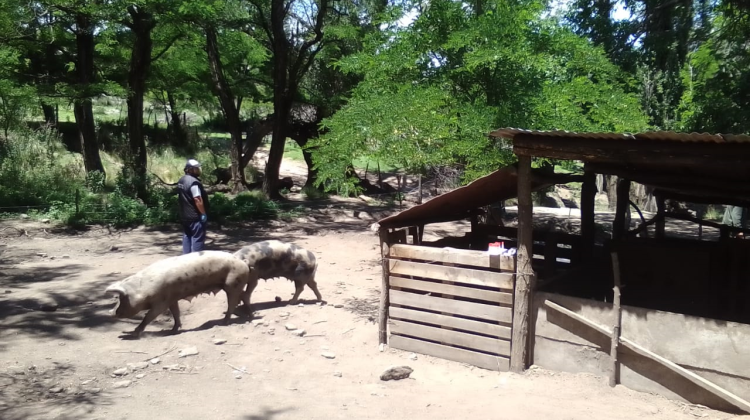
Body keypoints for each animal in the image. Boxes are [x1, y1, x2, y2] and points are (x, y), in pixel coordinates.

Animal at [104, 249, 254, 338]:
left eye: (121, 298)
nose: (110, 313)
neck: (141, 288)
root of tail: (244, 263)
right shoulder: (171, 299)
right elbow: (176, 313)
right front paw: (173, 330)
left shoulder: (161, 302)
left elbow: (148, 316)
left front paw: (135, 333)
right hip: (235, 285)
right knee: (244, 296)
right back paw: (250, 316)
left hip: (232, 284)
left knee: (232, 302)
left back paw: (224, 321)